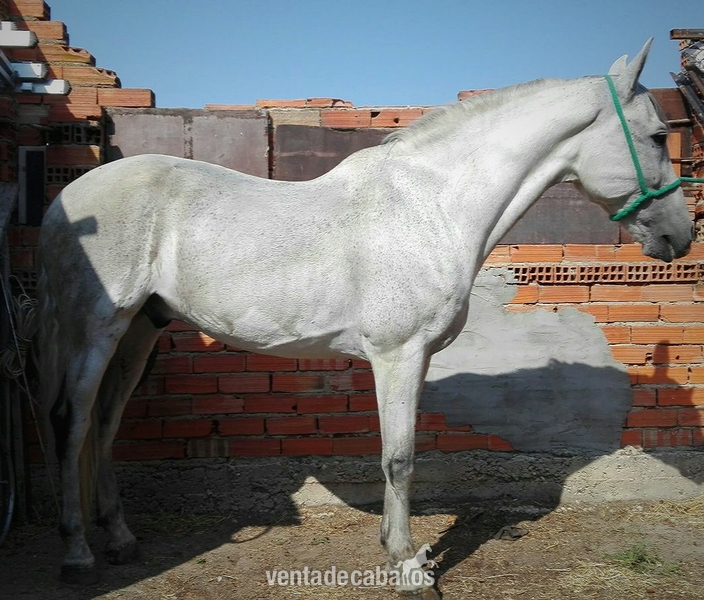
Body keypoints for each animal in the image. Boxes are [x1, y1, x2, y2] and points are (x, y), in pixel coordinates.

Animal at [38, 40, 693, 597]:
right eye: (659, 135)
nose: (680, 237)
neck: (433, 206)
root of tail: (63, 202)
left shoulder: (414, 358)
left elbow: (401, 455)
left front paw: (399, 549)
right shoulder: (397, 354)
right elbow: (399, 458)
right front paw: (407, 566)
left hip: (140, 331)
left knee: (105, 423)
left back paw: (121, 539)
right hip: (97, 329)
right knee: (73, 423)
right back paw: (76, 555)